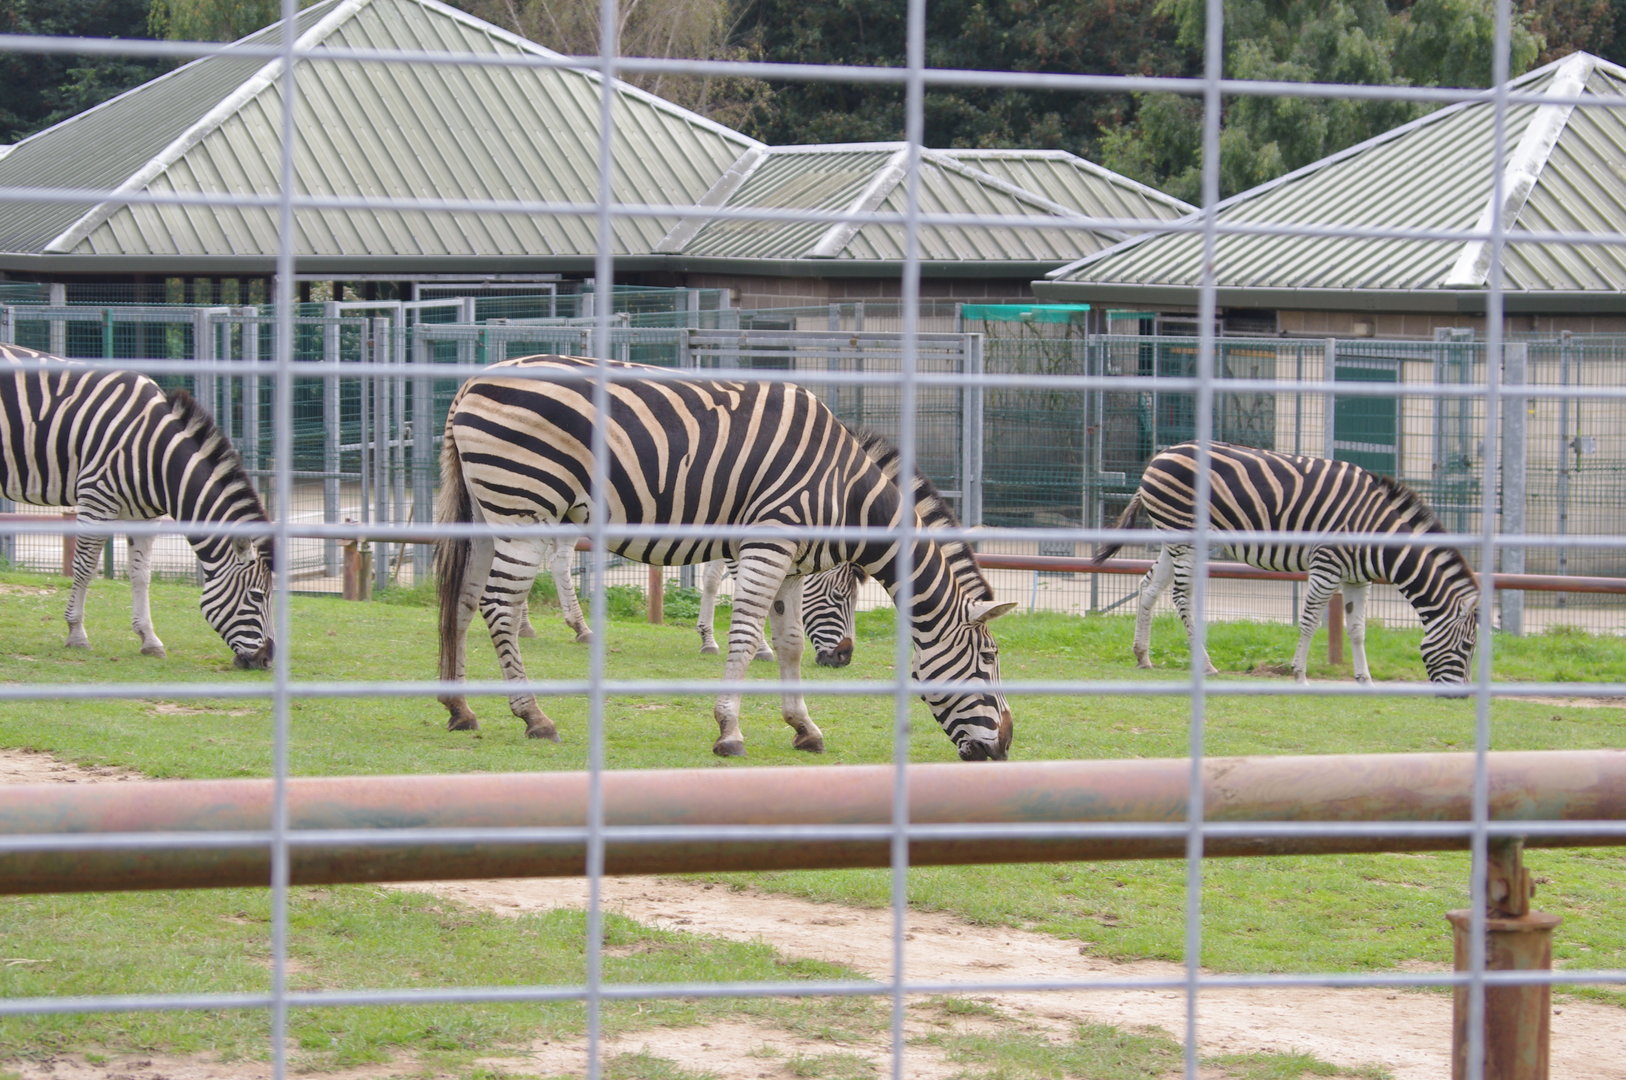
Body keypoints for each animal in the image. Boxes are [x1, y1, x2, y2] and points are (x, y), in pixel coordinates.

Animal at [0, 344, 274, 668]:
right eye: (257, 597)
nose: (267, 660)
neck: (158, 456)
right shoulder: (96, 498)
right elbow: (84, 568)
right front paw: (76, 633)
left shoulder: (144, 516)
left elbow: (141, 574)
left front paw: (149, 639)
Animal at [434, 354, 1015, 759]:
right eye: (989, 661)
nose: (1005, 747)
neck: (845, 492)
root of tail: (472, 381)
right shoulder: (767, 544)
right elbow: (745, 635)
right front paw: (730, 730)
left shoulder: (791, 564)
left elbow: (790, 643)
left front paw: (804, 728)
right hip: (525, 509)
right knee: (499, 606)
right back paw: (535, 716)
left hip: (489, 511)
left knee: (462, 600)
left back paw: (460, 708)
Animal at [1093, 441, 1478, 684]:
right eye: (1468, 647)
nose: (1461, 696)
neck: (1377, 535)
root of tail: (1160, 455)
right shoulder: (1327, 566)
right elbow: (1309, 621)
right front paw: (1300, 674)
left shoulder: (1357, 578)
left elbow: (1357, 630)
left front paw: (1365, 680)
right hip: (1184, 535)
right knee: (1181, 598)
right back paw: (1206, 664)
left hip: (1172, 537)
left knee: (1149, 586)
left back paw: (1143, 655)